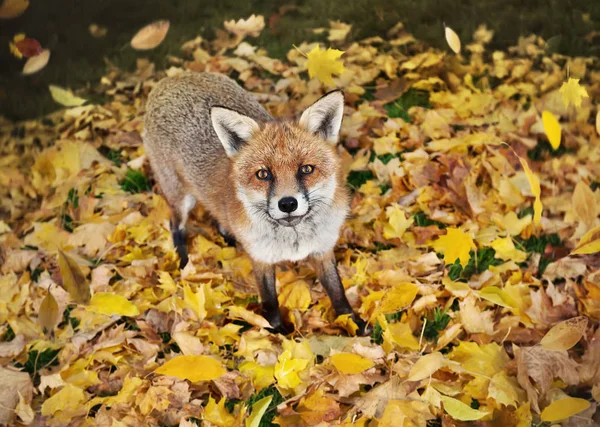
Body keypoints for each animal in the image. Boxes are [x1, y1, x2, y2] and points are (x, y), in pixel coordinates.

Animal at [144, 72, 366, 334]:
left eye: (306, 169)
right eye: (263, 174)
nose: (287, 203)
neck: (293, 241)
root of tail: (174, 77)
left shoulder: (322, 250)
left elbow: (337, 292)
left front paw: (353, 323)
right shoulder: (262, 259)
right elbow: (270, 302)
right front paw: (277, 333)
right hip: (180, 198)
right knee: (175, 226)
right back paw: (184, 261)